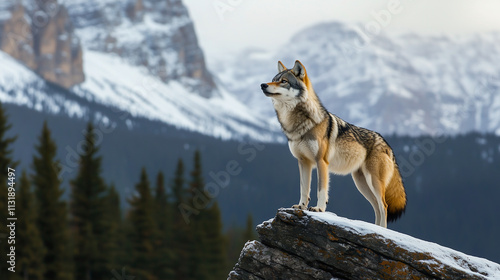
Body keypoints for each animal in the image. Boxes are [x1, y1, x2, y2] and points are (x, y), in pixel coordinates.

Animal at [260, 60, 408, 226]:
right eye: (273, 79)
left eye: (283, 81)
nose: (263, 85)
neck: (300, 125)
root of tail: (386, 143)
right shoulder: (303, 162)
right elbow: (304, 189)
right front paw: (301, 206)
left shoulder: (321, 162)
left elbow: (321, 190)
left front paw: (318, 209)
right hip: (361, 183)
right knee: (377, 206)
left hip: (373, 182)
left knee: (384, 206)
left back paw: (381, 229)